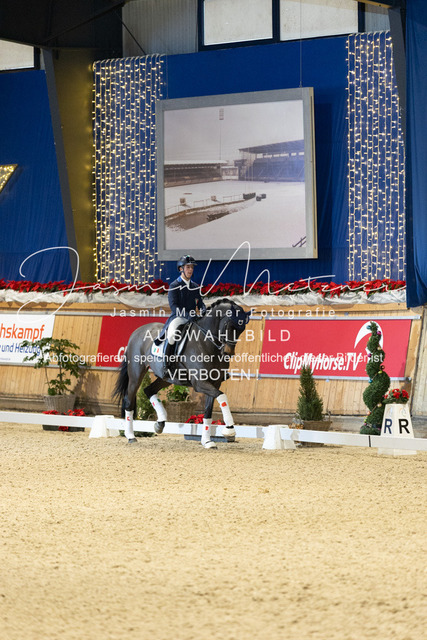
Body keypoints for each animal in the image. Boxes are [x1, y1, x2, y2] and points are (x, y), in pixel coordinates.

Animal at [113, 298, 251, 448]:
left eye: (242, 329)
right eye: (228, 325)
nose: (228, 352)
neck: (206, 343)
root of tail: (137, 331)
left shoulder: (215, 383)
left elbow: (208, 412)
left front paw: (207, 441)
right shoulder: (200, 383)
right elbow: (222, 396)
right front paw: (229, 429)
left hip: (165, 378)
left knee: (148, 390)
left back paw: (160, 423)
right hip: (136, 374)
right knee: (129, 400)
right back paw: (131, 436)